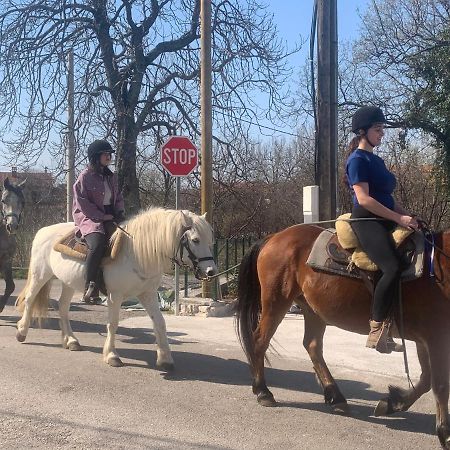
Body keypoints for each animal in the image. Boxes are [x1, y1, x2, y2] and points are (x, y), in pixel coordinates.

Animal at [15, 207, 216, 370]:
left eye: (210, 241)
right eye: (195, 240)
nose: (211, 271)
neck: (136, 253)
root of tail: (43, 231)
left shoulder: (148, 294)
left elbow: (160, 323)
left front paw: (165, 358)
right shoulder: (115, 295)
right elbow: (113, 324)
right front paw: (112, 355)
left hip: (67, 282)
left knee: (63, 307)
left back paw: (71, 340)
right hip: (41, 275)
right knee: (30, 299)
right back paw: (22, 332)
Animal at [236, 225, 450, 450]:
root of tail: (275, 236)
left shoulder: (426, 339)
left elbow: (426, 380)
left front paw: (393, 403)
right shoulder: (436, 336)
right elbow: (440, 385)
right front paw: (445, 434)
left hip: (312, 308)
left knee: (312, 345)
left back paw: (335, 396)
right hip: (276, 301)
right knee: (260, 342)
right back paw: (263, 391)